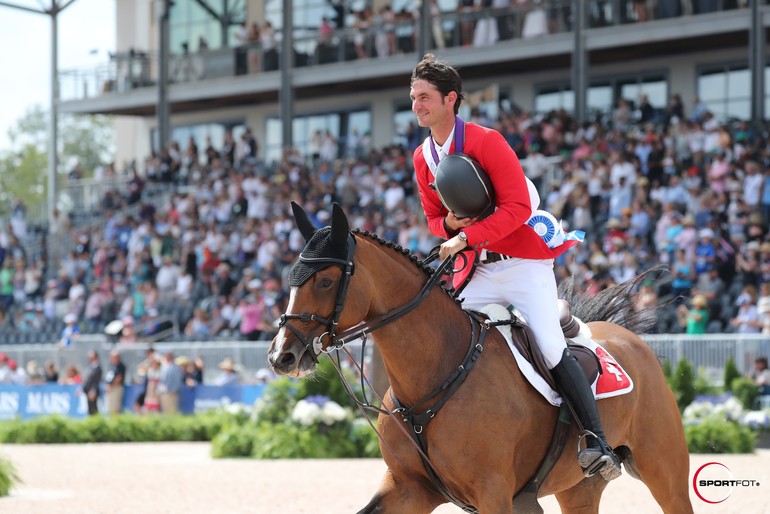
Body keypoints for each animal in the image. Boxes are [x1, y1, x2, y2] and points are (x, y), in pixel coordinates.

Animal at [268, 202, 692, 510]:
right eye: (291, 277)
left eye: (325, 281)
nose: (281, 357)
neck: (436, 376)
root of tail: (628, 338)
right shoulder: (407, 489)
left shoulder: (493, 493)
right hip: (578, 489)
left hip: (663, 469)